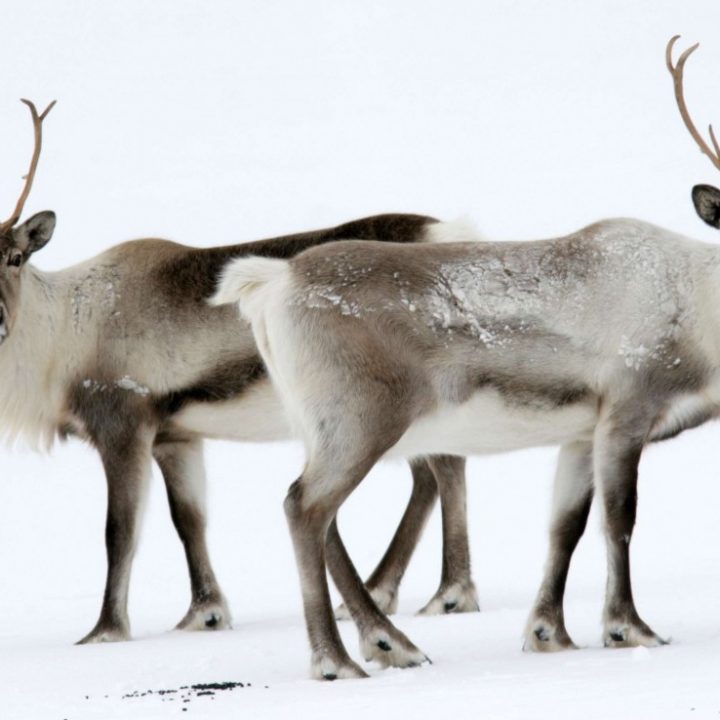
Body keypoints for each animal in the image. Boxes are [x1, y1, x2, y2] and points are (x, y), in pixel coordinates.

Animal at [0, 99, 480, 646]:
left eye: (15, 257)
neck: (63, 335)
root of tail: (449, 234)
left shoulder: (123, 425)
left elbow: (119, 533)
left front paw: (105, 632)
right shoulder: (176, 437)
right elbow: (189, 520)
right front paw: (204, 613)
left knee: (446, 469)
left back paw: (450, 594)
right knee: (427, 476)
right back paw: (380, 591)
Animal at [209, 35, 720, 680]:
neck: (699, 311)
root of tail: (270, 284)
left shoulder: (582, 431)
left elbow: (564, 527)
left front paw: (549, 633)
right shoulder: (627, 410)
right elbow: (619, 520)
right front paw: (629, 628)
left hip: (321, 424)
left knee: (321, 516)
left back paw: (389, 643)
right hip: (361, 419)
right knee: (304, 507)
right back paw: (336, 660)